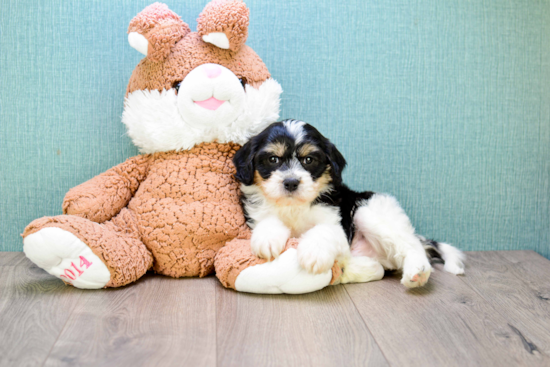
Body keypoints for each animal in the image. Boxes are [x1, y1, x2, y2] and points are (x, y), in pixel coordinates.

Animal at [233, 119, 466, 288]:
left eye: (309, 160)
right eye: (273, 159)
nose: (290, 182)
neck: (294, 206)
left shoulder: (337, 225)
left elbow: (323, 231)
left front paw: (314, 253)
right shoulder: (257, 214)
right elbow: (268, 220)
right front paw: (268, 238)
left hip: (369, 212)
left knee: (411, 245)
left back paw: (417, 272)